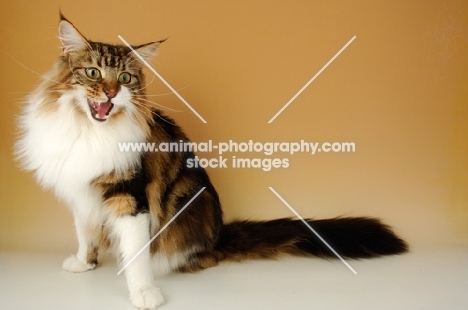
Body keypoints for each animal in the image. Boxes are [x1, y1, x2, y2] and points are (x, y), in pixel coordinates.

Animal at [15, 13, 406, 310]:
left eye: (125, 78)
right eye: (93, 73)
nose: (111, 93)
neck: (87, 131)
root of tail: (220, 233)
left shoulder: (130, 195)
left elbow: (136, 253)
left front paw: (144, 292)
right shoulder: (80, 192)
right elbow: (86, 234)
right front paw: (84, 263)